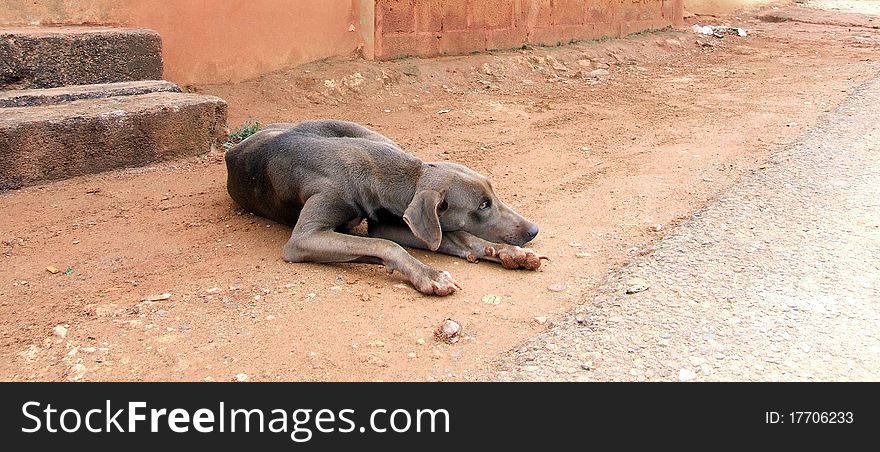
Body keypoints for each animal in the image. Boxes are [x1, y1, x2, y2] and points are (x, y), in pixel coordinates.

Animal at [223, 121, 548, 296]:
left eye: (493, 195)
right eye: (482, 205)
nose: (534, 230)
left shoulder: (393, 222)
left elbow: (452, 237)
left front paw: (506, 253)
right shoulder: (304, 239)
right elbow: (385, 245)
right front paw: (429, 274)